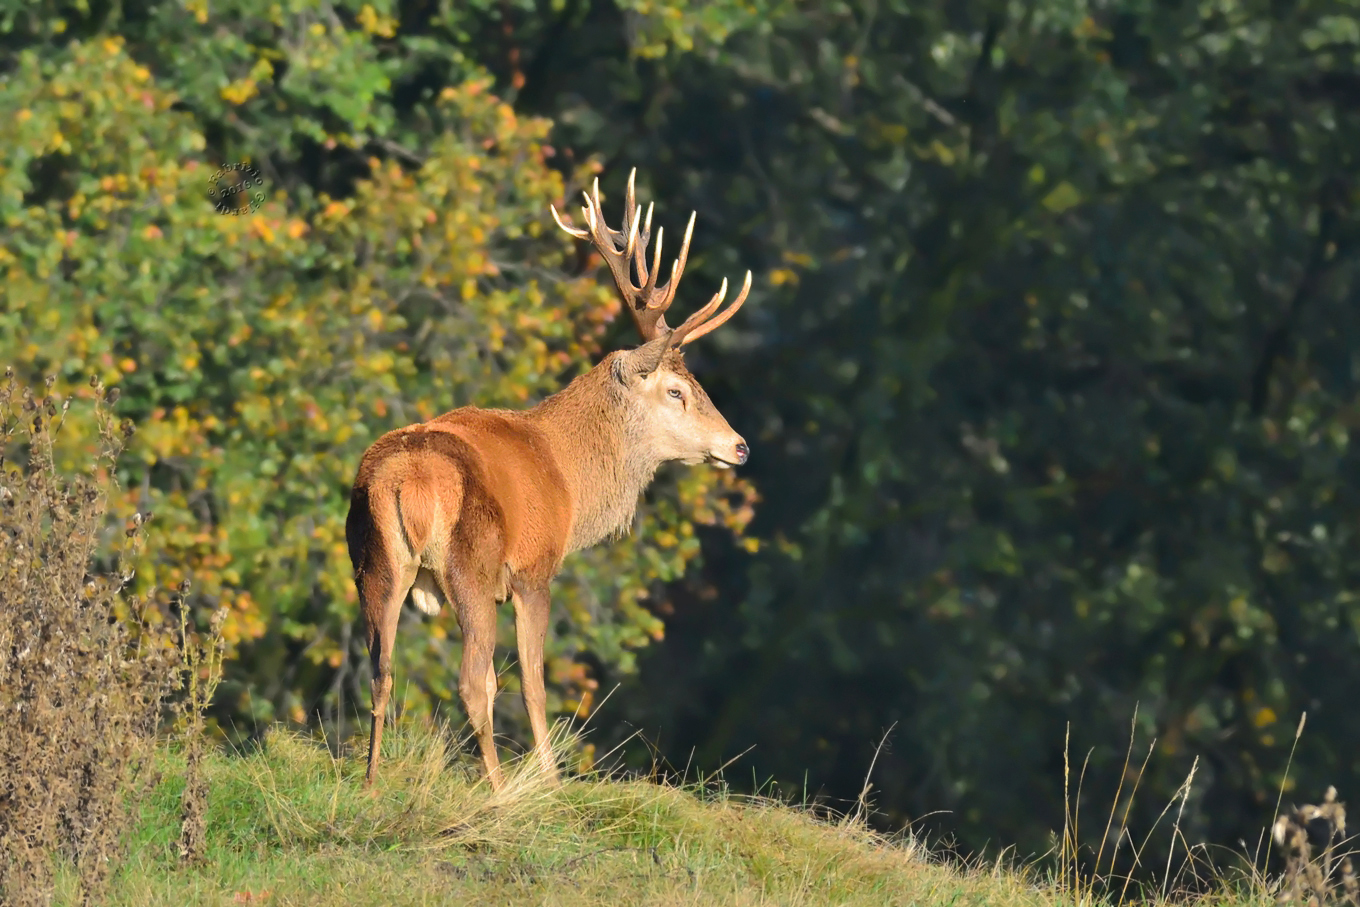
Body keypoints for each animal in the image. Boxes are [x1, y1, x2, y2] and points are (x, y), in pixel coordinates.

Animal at [345, 170, 752, 791]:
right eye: (676, 391)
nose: (740, 446)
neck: (568, 478)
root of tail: (405, 480)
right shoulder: (533, 569)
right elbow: (533, 686)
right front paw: (551, 786)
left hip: (373, 560)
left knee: (381, 669)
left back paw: (370, 782)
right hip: (469, 562)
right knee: (472, 680)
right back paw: (499, 794)